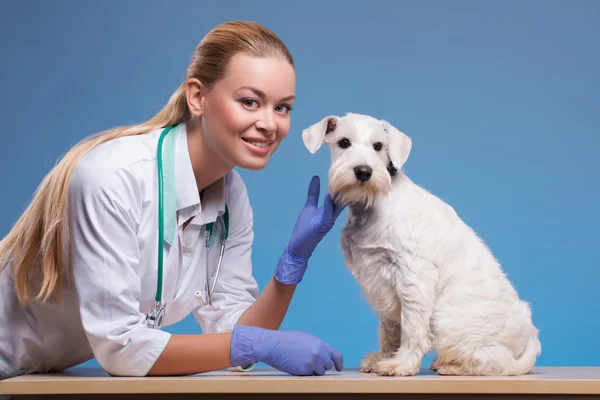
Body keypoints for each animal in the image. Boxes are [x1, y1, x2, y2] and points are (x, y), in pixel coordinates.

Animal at [302, 113, 540, 378]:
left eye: (378, 145)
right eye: (343, 142)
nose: (363, 172)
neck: (373, 203)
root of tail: (530, 336)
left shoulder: (413, 275)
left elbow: (413, 327)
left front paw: (401, 364)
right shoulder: (383, 283)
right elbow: (390, 329)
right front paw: (384, 358)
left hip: (447, 320)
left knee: (498, 361)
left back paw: (450, 366)